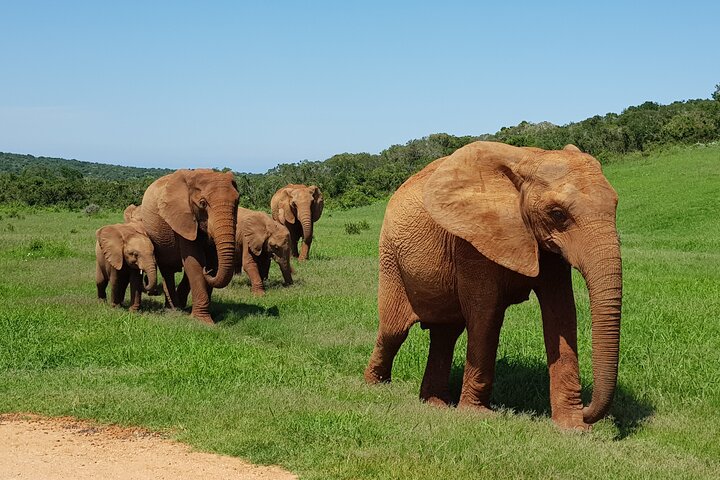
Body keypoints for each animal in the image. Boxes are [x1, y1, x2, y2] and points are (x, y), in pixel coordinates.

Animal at [140, 169, 239, 324]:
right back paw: (173, 309)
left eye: (237, 202)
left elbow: (213, 261)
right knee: (167, 270)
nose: (207, 271)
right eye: (203, 203)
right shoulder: (182, 219)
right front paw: (204, 321)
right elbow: (194, 262)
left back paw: (179, 305)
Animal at [364, 141, 622, 431]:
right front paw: (476, 416)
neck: (529, 158)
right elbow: (486, 314)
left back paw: (435, 403)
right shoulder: (471, 239)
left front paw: (573, 427)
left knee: (445, 334)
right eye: (557, 214)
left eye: (615, 206)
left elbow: (561, 313)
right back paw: (375, 387)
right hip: (390, 259)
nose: (588, 411)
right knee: (393, 331)